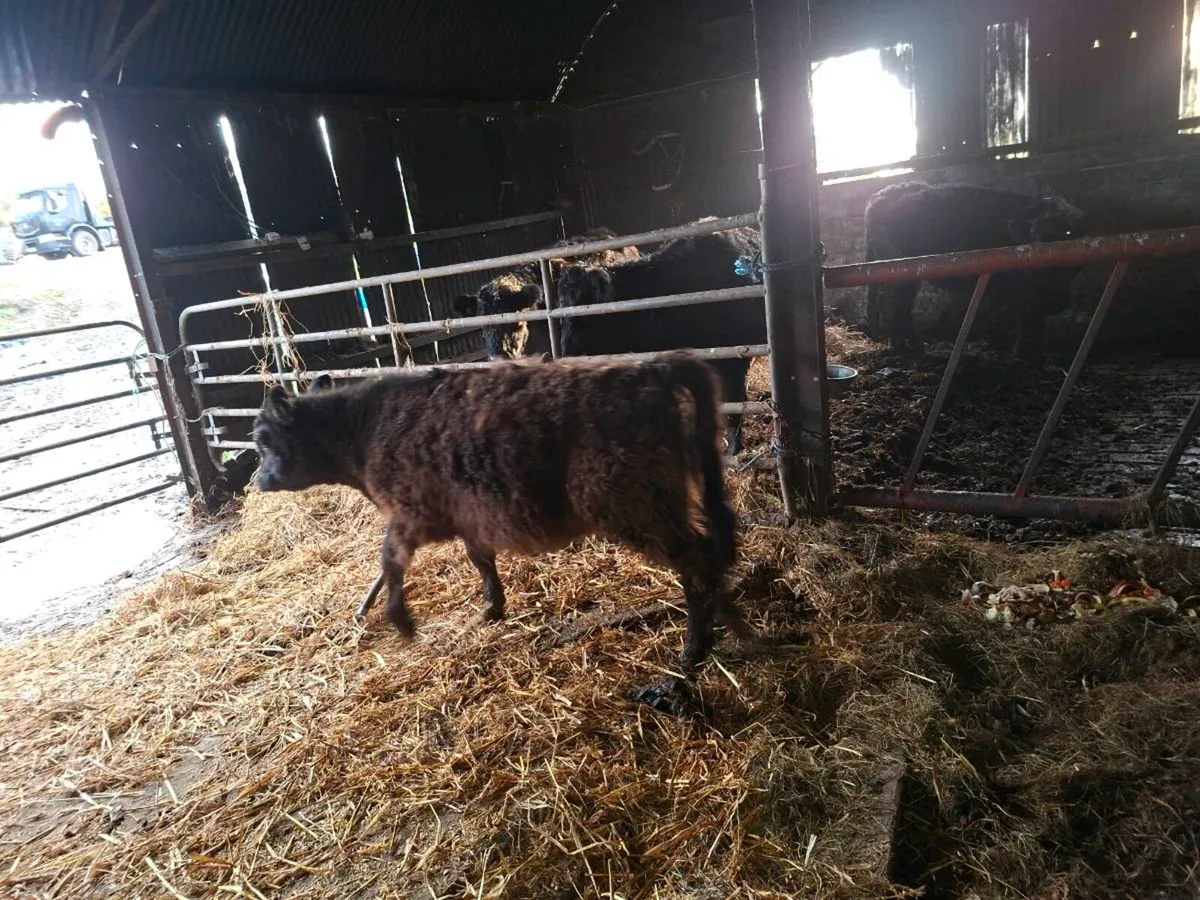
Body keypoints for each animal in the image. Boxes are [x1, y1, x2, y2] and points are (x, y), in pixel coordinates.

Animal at [251, 354, 748, 670]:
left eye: (263, 439)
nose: (257, 480)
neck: (366, 428)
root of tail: (649, 368)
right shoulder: (467, 514)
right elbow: (480, 559)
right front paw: (491, 608)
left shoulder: (414, 514)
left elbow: (388, 558)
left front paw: (401, 619)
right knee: (712, 548)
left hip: (636, 507)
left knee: (697, 562)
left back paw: (695, 646)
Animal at [553, 227, 765, 455]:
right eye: (562, 314)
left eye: (586, 315)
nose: (567, 355)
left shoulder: (734, 363)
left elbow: (734, 405)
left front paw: (733, 449)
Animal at [864, 181, 1089, 361]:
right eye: (1037, 236)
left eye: (1069, 232)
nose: (1055, 300)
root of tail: (879, 196)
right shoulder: (1022, 288)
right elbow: (1027, 314)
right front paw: (1025, 352)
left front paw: (1000, 343)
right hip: (901, 272)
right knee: (895, 305)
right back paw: (905, 346)